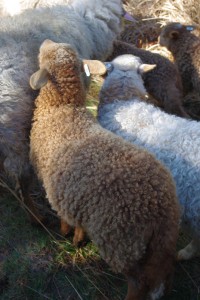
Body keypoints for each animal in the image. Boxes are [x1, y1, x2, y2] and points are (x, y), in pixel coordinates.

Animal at [29, 39, 180, 300]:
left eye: (45, 54)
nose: (46, 41)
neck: (62, 107)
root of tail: (161, 208)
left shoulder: (55, 189)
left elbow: (64, 218)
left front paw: (65, 233)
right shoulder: (74, 195)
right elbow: (79, 223)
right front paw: (78, 240)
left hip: (121, 241)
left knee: (138, 281)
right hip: (159, 243)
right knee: (165, 269)